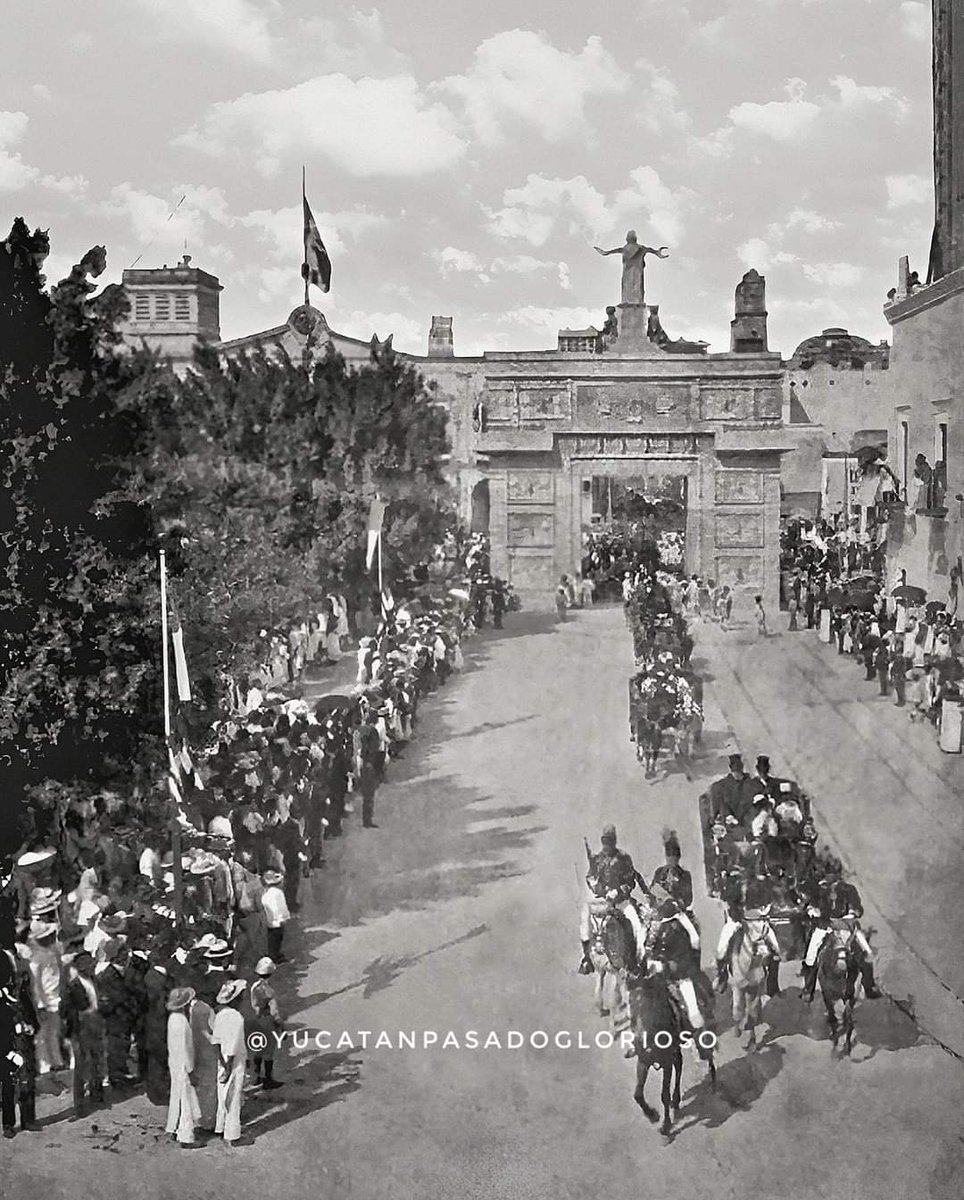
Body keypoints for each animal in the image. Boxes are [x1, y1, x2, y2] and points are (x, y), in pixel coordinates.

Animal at [629, 969, 681, 1137]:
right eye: (630, 1002)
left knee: (679, 1066)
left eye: (653, 1003)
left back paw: (675, 1100)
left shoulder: (666, 1063)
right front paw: (652, 1115)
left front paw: (666, 1125)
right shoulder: (643, 1062)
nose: (639, 1042)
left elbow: (664, 1094)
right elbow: (638, 1094)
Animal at [816, 921, 864, 1056]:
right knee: (849, 1024)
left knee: (837, 1020)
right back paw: (847, 1047)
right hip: (853, 994)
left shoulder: (827, 994)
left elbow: (832, 1016)